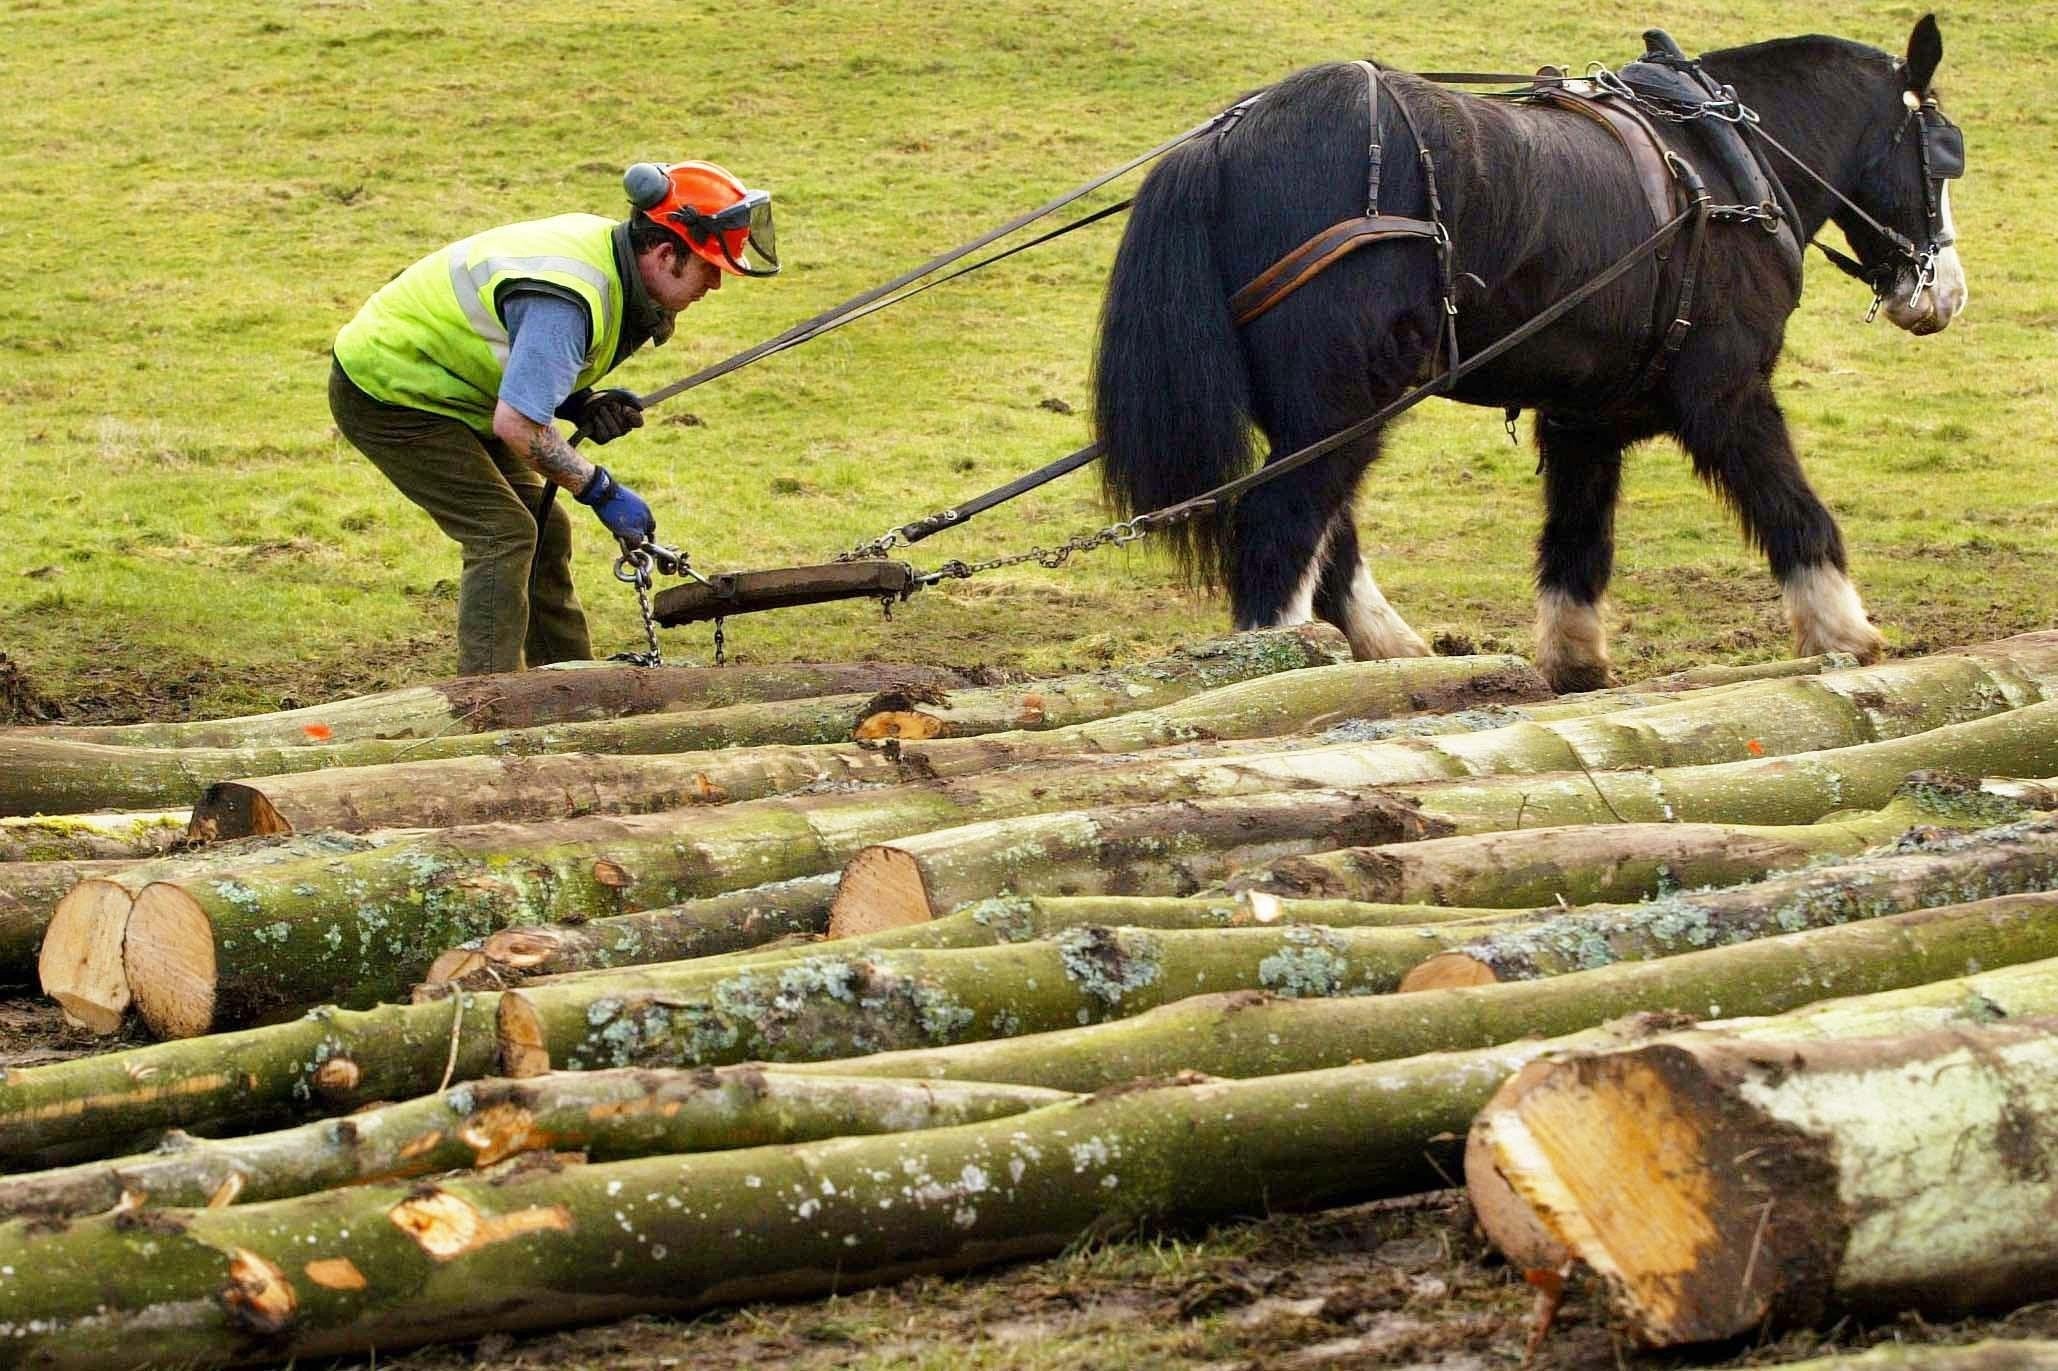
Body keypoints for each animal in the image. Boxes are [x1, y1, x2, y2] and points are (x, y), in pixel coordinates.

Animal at [1103, 17, 1967, 687]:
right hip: (1345, 401)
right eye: (1943, 157)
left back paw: (1385, 650)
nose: (1944, 294)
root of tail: (1224, 142)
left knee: (1327, 534)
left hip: (1323, 413)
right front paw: (1845, 632)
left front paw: (1573, 660)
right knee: (1281, 531)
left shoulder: (1586, 417)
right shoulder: (1729, 394)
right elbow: (1794, 509)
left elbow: (1577, 541)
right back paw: (1283, 669)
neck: (1719, 164)